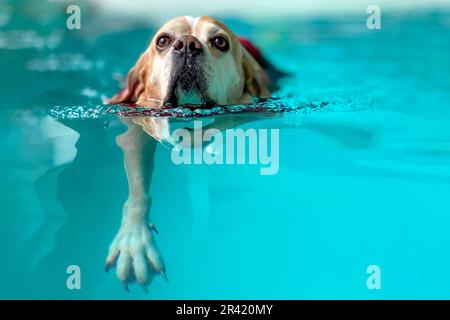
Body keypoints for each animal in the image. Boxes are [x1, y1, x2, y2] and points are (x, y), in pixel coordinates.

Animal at [104, 16, 284, 288]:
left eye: (220, 41)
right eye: (163, 41)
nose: (187, 44)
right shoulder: (135, 128)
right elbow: (138, 192)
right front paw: (134, 240)